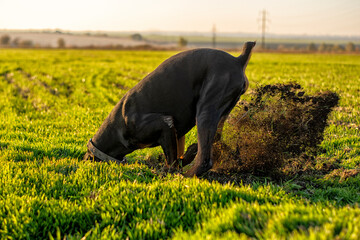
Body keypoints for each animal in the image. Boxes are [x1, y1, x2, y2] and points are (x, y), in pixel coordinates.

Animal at [83, 40, 256, 176]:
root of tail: (238, 60)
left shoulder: (165, 123)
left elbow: (172, 161)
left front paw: (168, 173)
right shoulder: (177, 133)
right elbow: (177, 155)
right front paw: (184, 157)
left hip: (206, 110)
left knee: (205, 160)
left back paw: (187, 176)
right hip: (222, 111)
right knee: (214, 140)